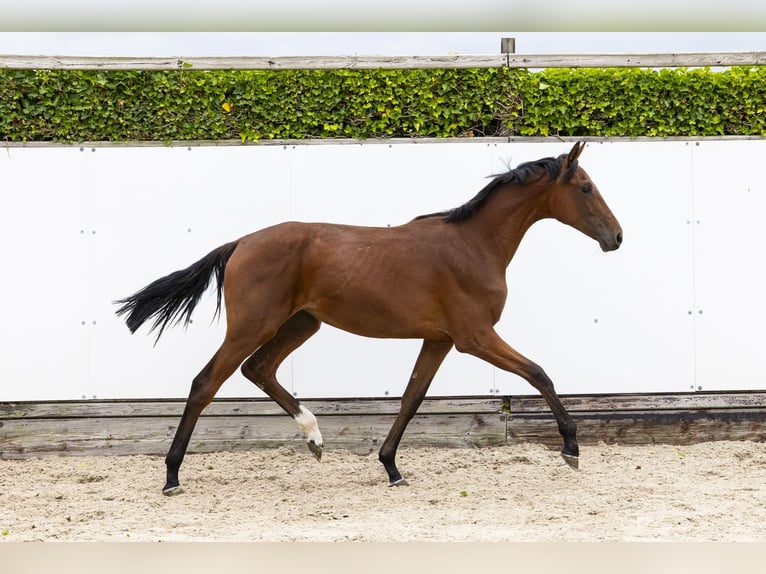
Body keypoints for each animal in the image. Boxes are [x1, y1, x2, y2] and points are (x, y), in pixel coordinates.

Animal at [115, 141, 622, 495]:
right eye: (585, 188)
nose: (616, 237)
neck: (474, 245)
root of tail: (240, 242)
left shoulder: (439, 339)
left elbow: (411, 398)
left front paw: (391, 466)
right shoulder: (475, 336)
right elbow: (539, 373)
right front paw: (571, 448)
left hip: (302, 323)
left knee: (258, 369)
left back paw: (315, 438)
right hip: (253, 325)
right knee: (206, 382)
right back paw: (172, 476)